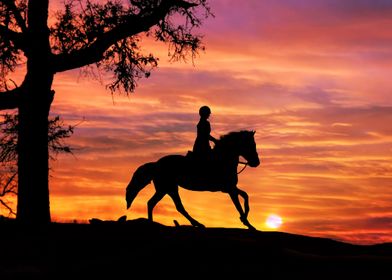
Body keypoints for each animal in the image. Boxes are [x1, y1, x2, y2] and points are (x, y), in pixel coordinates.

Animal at [126, 130, 260, 229]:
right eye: (251, 145)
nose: (256, 162)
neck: (223, 159)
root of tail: (156, 164)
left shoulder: (230, 188)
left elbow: (246, 196)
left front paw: (244, 219)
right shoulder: (229, 189)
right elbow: (239, 205)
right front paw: (248, 224)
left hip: (167, 189)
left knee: (158, 204)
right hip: (167, 188)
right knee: (169, 205)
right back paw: (197, 223)